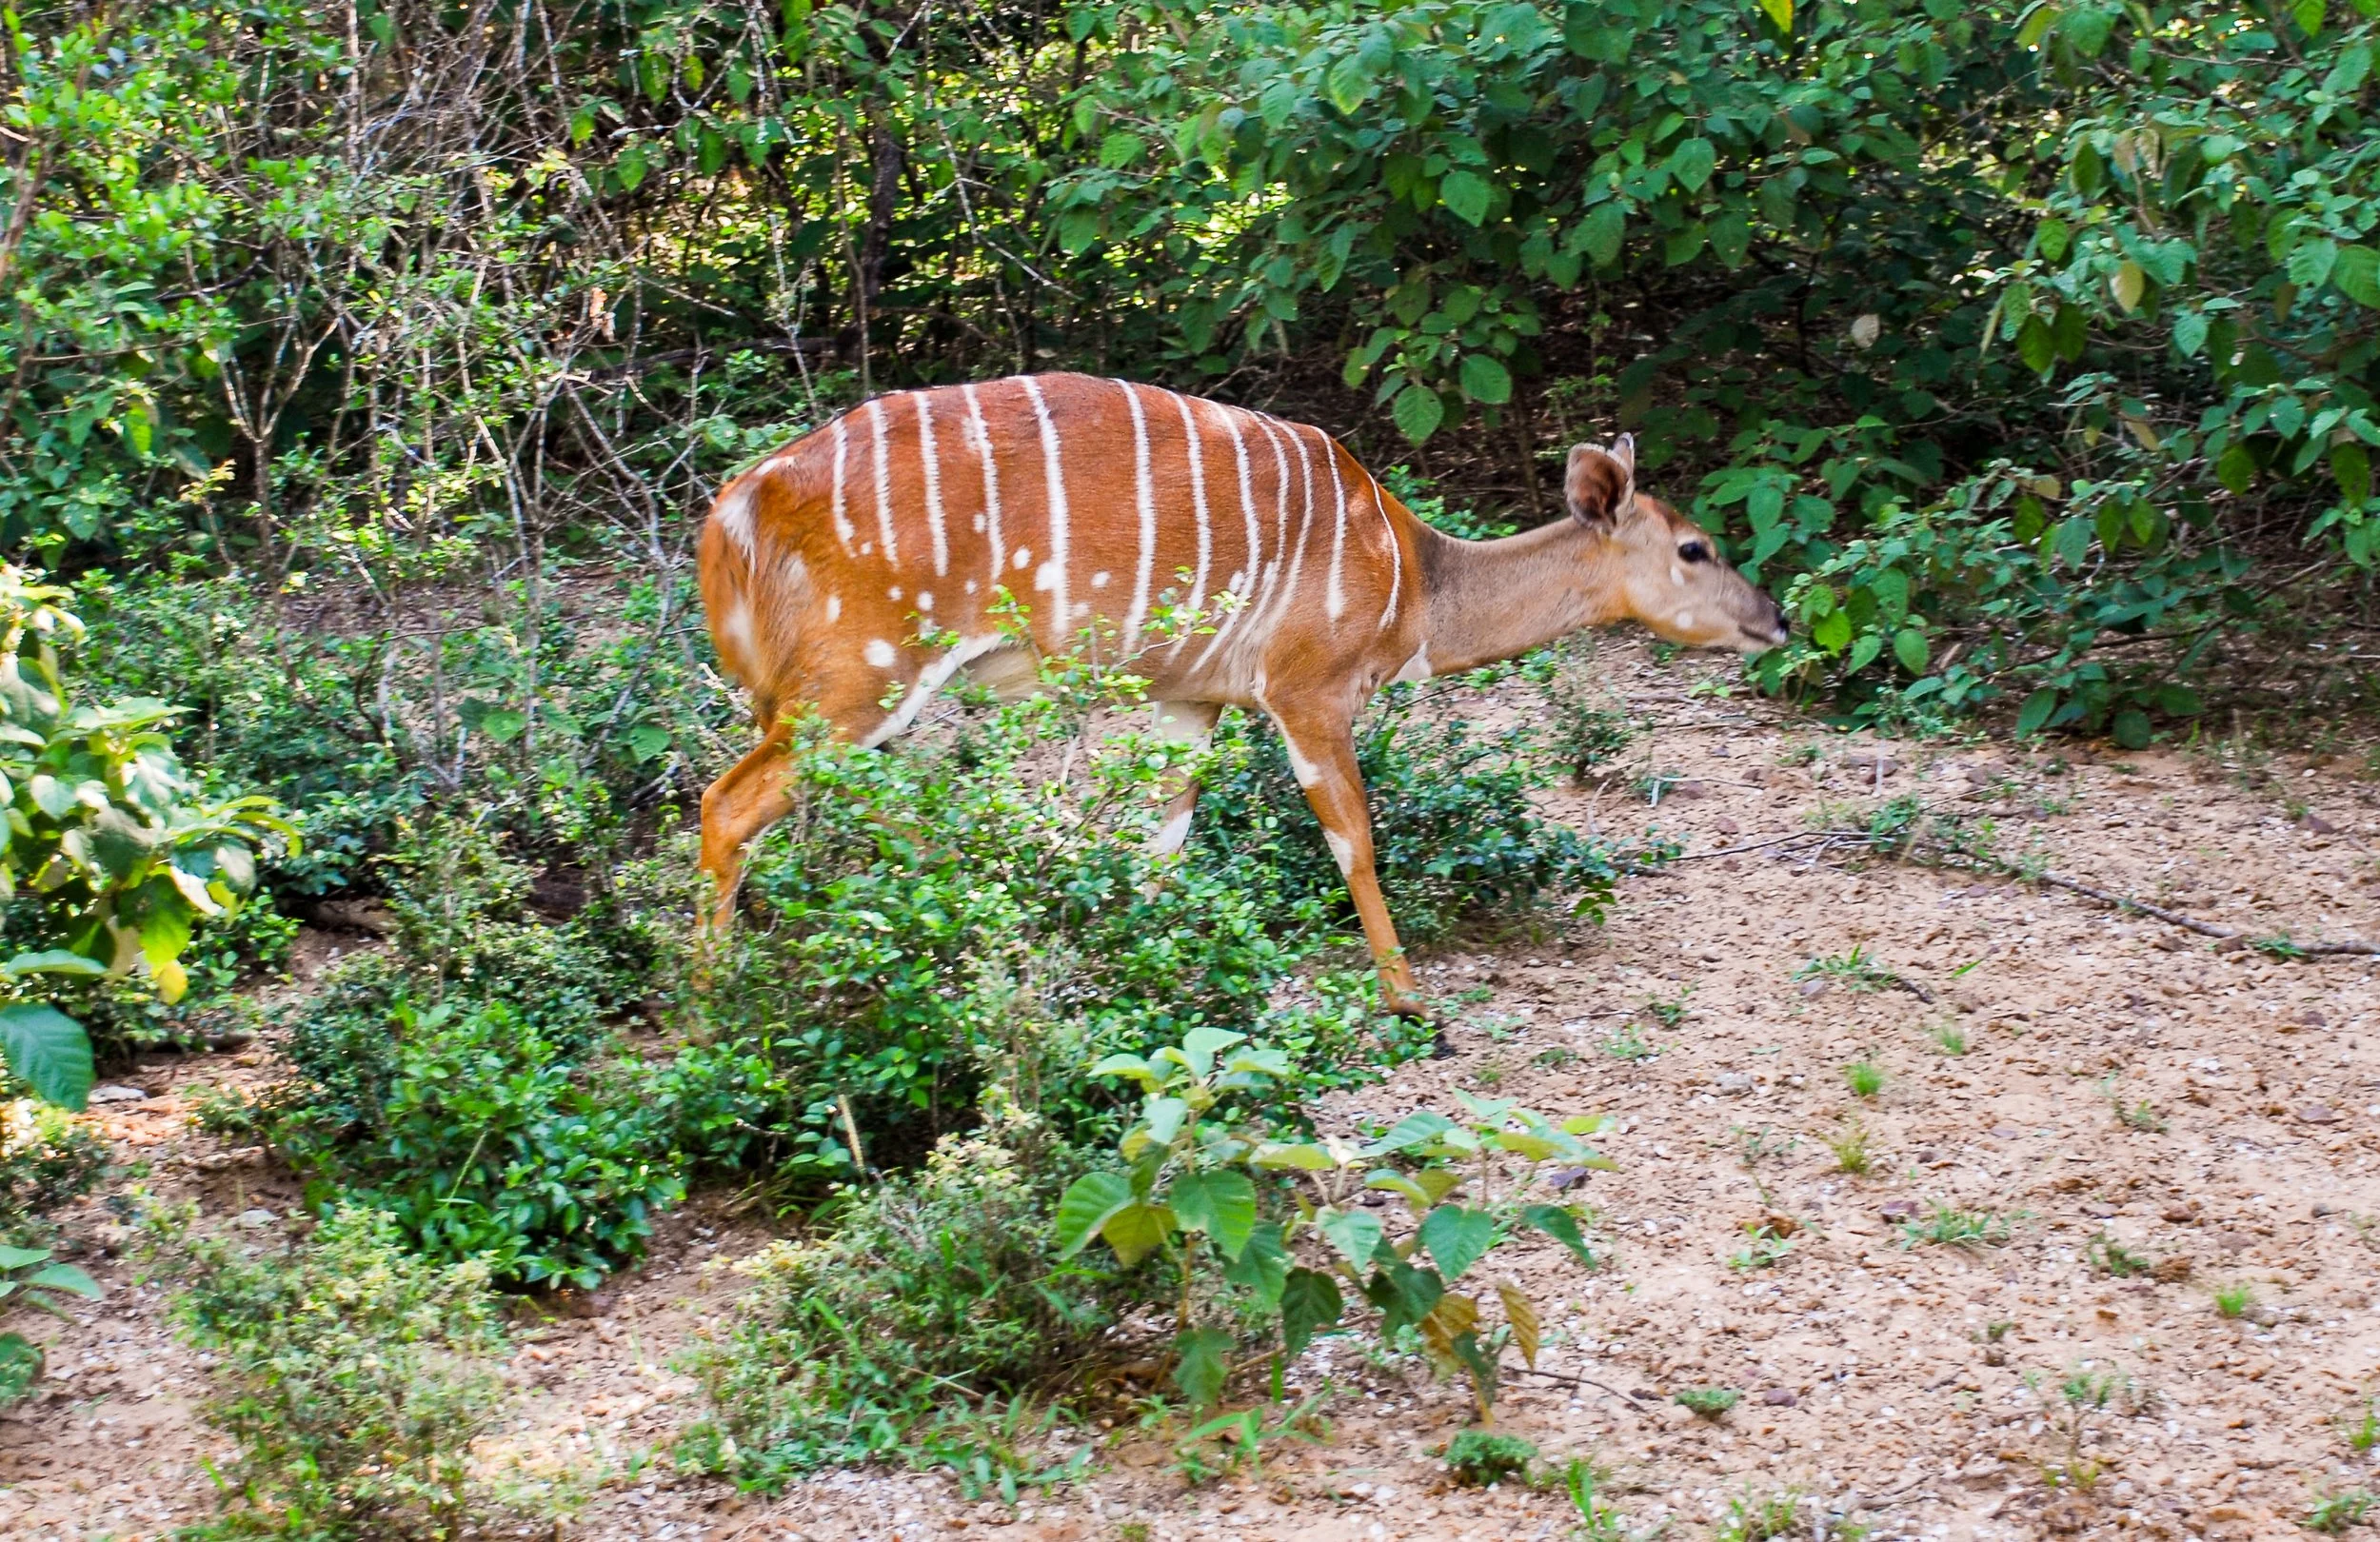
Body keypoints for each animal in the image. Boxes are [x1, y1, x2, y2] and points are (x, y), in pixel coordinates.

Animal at [698, 373, 1787, 1017]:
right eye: (1696, 548)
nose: (1774, 619)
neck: (1413, 580)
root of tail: (736, 507)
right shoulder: (1307, 690)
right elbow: (1354, 838)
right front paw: (1408, 1000)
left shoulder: (1193, 698)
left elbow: (1163, 842)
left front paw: (1138, 967)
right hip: (862, 675)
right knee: (729, 803)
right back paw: (713, 1002)